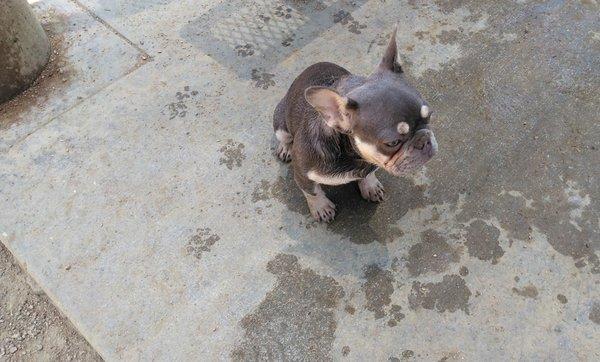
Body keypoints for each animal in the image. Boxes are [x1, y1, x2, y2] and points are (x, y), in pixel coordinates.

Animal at [272, 26, 436, 222]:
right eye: (392, 143)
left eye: (429, 116)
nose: (424, 141)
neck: (353, 157)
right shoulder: (303, 174)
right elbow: (312, 192)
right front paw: (321, 207)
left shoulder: (371, 162)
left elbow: (369, 173)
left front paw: (370, 185)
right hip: (280, 123)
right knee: (284, 137)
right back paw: (285, 148)